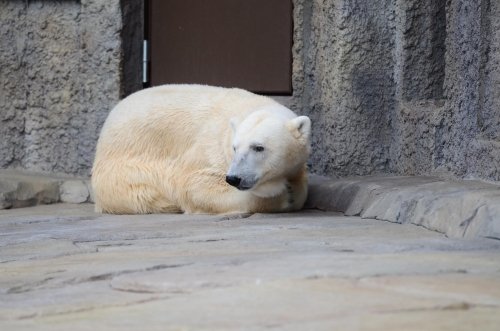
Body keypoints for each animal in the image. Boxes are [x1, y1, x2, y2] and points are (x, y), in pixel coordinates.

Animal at [90, 85, 308, 215]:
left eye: (259, 147)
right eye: (235, 147)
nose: (234, 178)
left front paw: (291, 190)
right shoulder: (210, 150)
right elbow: (195, 186)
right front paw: (282, 196)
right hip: (127, 168)